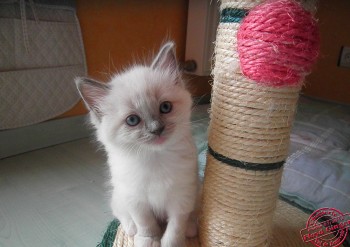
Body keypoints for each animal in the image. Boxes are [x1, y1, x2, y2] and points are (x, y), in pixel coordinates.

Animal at [75, 41, 198, 246]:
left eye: (165, 107)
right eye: (132, 120)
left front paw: (171, 243)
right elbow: (147, 224)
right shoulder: (136, 200)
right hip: (119, 195)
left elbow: (175, 229)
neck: (155, 159)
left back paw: (191, 229)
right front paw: (148, 240)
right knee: (122, 215)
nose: (157, 129)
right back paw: (132, 230)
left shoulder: (181, 198)